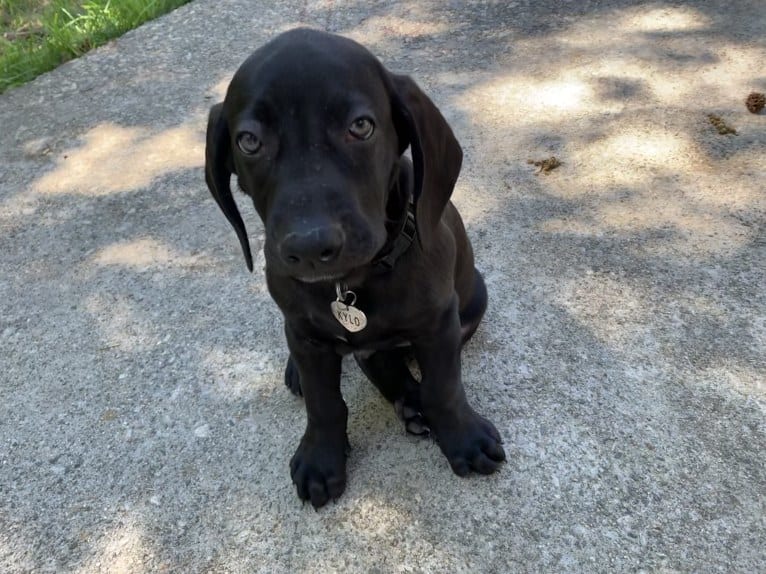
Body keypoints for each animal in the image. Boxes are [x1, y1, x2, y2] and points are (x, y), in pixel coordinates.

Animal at [206, 29, 504, 510]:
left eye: (361, 126)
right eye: (249, 141)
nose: (310, 246)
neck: (349, 284)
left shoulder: (439, 323)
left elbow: (444, 386)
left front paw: (463, 437)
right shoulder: (305, 332)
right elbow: (324, 403)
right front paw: (321, 457)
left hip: (474, 299)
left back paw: (412, 401)